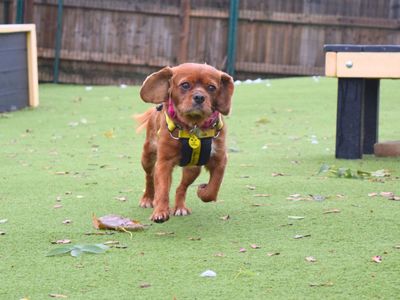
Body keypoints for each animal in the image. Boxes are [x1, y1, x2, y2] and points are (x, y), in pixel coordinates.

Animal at [136, 63, 233, 223]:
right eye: (185, 85)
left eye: (211, 87)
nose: (199, 97)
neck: (193, 127)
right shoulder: (163, 163)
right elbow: (162, 190)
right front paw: (160, 211)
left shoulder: (220, 160)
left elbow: (213, 189)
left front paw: (202, 191)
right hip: (147, 157)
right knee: (150, 177)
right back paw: (148, 198)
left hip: (193, 169)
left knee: (181, 188)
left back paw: (180, 207)